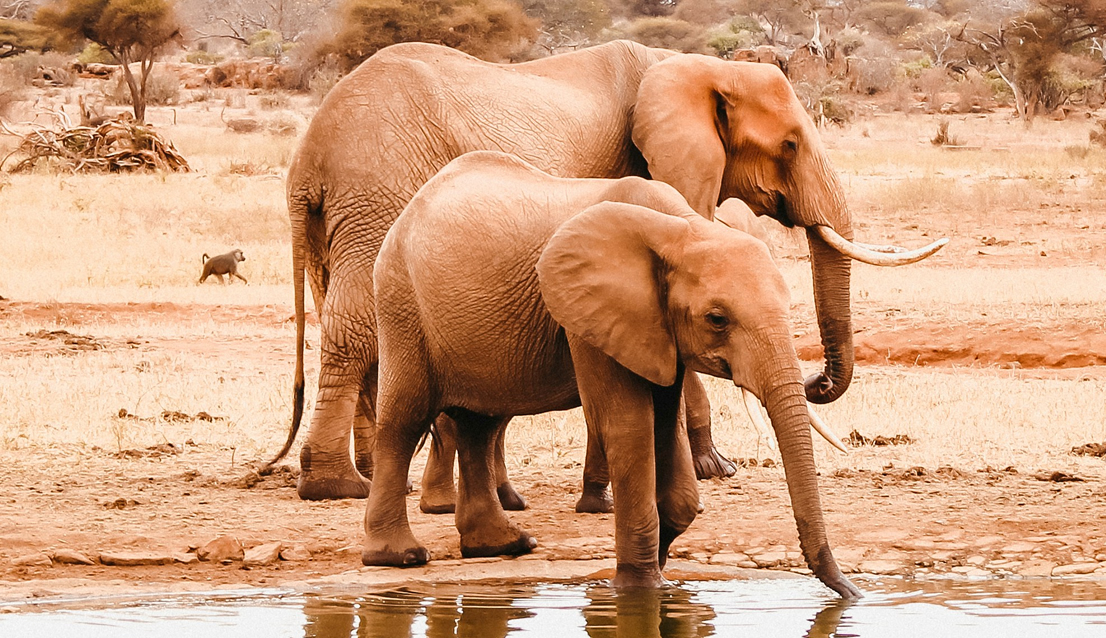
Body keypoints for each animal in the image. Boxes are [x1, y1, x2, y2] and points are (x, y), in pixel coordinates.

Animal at [271, 40, 946, 503]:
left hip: (347, 212)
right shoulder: (651, 175)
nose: (815, 383)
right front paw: (715, 469)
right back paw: (339, 486)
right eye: (789, 145)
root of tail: (308, 157)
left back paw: (381, 476)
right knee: (355, 323)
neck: (692, 66)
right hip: (378, 189)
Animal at [362, 151, 860, 599]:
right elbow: (629, 426)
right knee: (405, 420)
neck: (682, 229)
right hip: (402, 301)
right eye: (717, 319)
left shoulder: (656, 327)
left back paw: (503, 547)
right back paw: (399, 556)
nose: (850, 593)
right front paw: (639, 589)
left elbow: (666, 426)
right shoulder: (587, 315)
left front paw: (661, 569)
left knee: (478, 425)